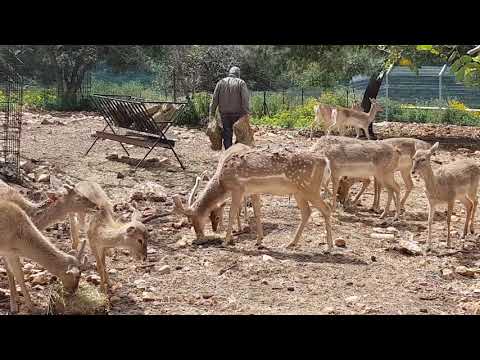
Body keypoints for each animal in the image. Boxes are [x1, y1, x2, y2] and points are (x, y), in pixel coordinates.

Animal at [173, 146, 334, 250]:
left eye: (195, 218)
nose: (199, 237)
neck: (223, 183)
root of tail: (326, 162)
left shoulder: (238, 188)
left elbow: (232, 213)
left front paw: (225, 242)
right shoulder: (254, 191)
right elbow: (257, 212)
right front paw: (259, 241)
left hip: (309, 188)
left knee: (326, 208)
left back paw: (329, 247)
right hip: (298, 191)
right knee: (307, 212)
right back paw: (291, 243)